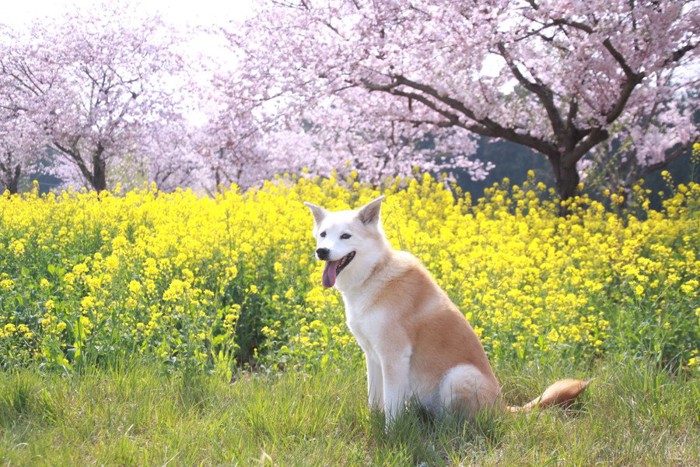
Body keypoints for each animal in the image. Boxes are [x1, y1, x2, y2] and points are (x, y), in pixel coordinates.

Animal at [304, 196, 588, 426]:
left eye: (346, 236)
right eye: (323, 234)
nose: (322, 251)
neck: (374, 273)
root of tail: (504, 407)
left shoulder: (394, 357)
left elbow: (392, 408)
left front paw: (390, 433)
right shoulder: (373, 356)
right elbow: (375, 399)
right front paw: (373, 421)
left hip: (458, 376)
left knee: (464, 422)